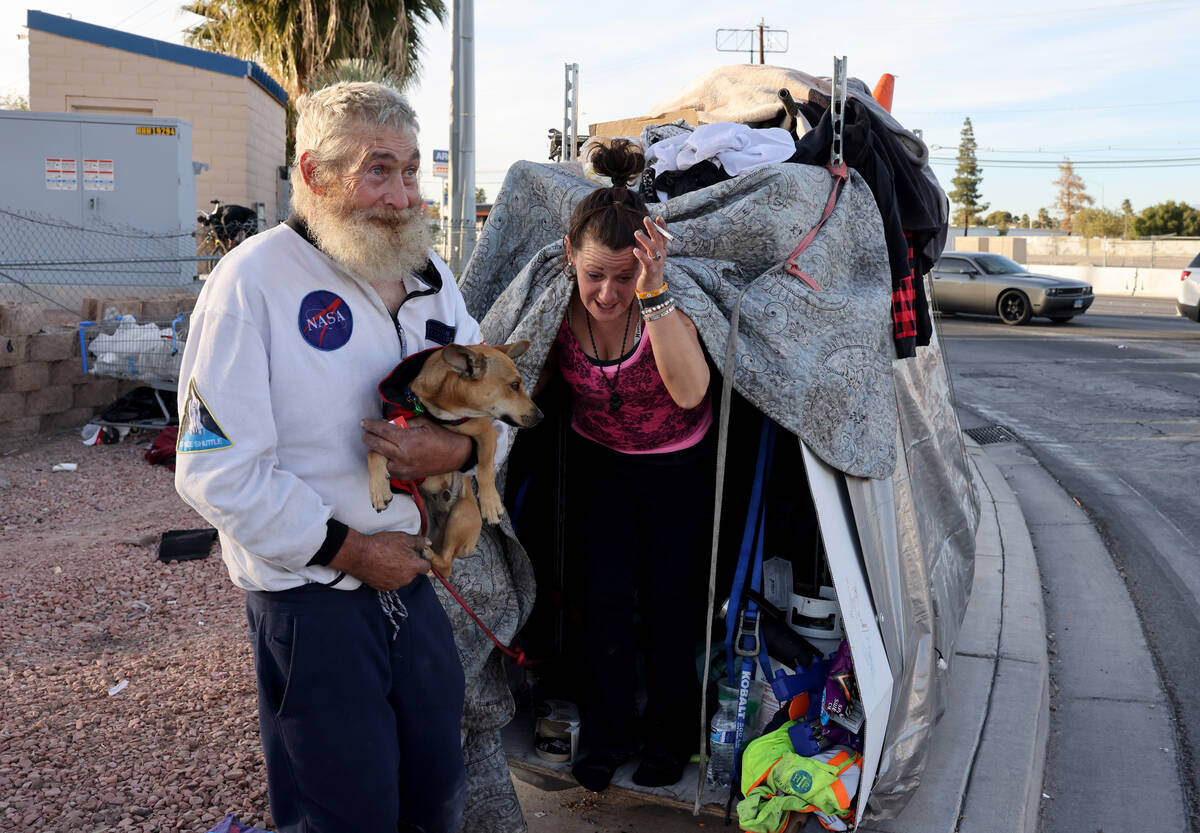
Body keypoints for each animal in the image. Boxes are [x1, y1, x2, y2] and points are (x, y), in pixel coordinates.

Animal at [364, 343, 544, 578]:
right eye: (514, 385)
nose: (541, 416)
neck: (436, 410)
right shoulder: (391, 432)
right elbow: (373, 452)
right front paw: (378, 489)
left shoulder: (486, 431)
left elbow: (485, 467)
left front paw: (490, 502)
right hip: (426, 523)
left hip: (460, 517)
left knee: (447, 563)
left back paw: (429, 556)